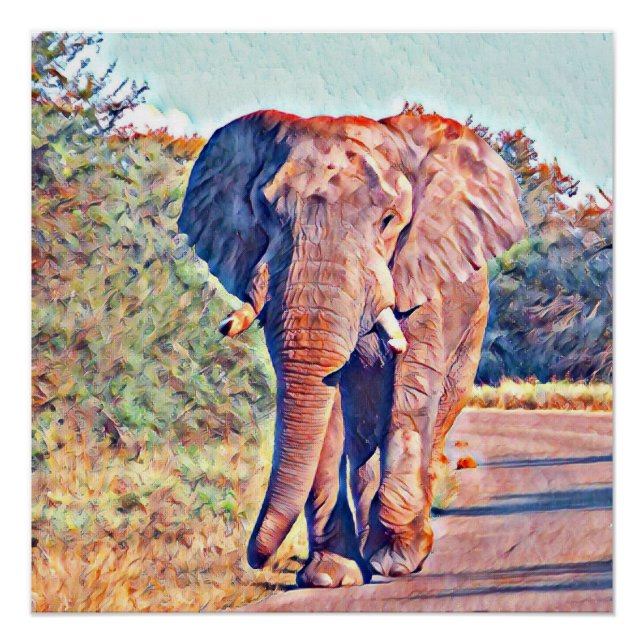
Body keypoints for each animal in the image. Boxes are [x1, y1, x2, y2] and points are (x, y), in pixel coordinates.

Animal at [178, 108, 525, 587]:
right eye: (265, 211)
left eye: (389, 221)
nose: (255, 559)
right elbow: (325, 412)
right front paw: (329, 577)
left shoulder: (421, 274)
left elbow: (410, 392)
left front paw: (396, 562)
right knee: (361, 441)